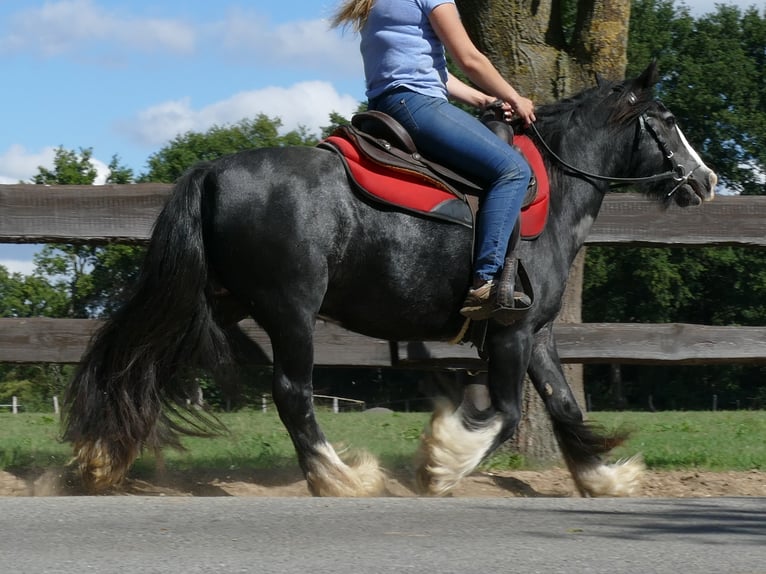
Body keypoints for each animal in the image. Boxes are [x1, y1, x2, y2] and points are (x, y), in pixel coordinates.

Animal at [63, 62, 716, 496]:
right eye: (667, 120)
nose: (707, 180)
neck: (549, 194)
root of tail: (212, 171)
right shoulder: (511, 331)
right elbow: (506, 413)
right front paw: (443, 462)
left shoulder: (538, 334)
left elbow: (564, 406)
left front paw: (604, 478)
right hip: (290, 311)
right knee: (291, 392)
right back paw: (340, 476)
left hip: (214, 303)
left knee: (142, 362)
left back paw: (100, 458)